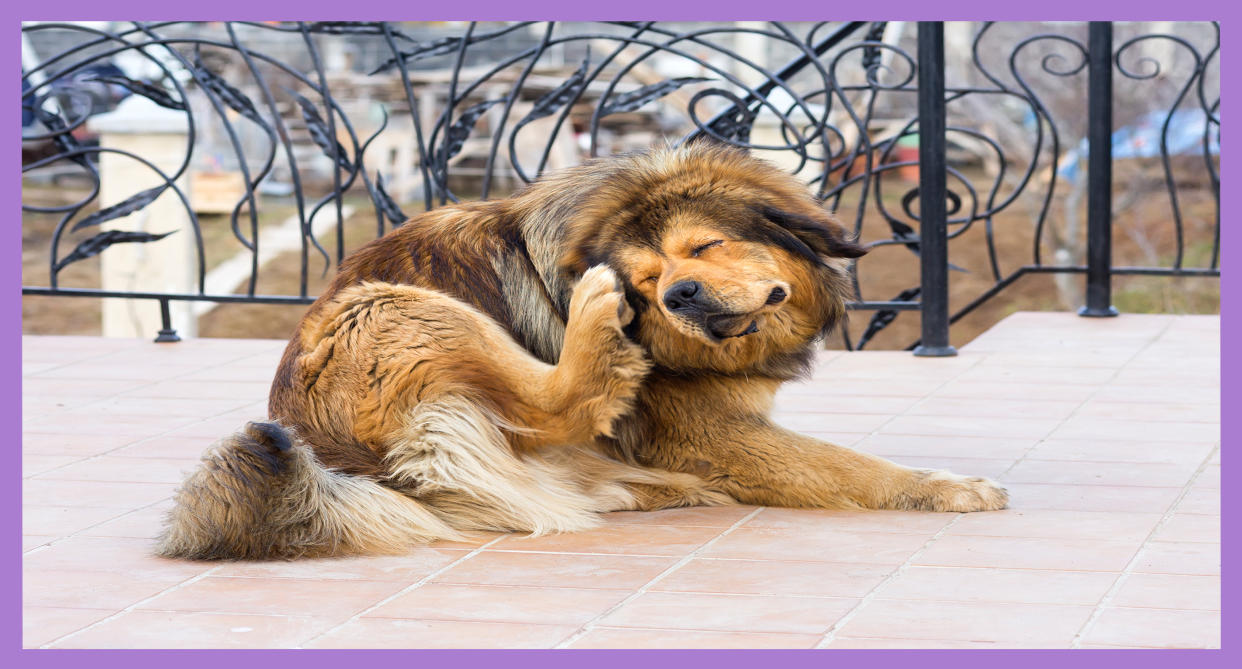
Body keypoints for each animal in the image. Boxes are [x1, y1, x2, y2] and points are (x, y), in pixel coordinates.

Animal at [157, 145, 1008, 561]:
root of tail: (327, 456)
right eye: (648, 280)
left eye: (703, 247)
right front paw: (945, 487)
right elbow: (851, 466)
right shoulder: (713, 430)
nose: (678, 296)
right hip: (392, 306)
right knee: (555, 405)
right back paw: (596, 335)